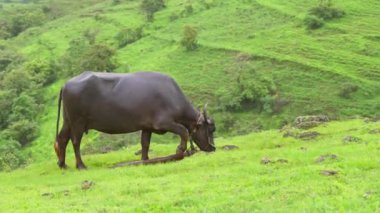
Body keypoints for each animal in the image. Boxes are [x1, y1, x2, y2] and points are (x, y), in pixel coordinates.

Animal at [52, 71, 217, 168]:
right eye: (210, 129)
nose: (213, 148)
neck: (171, 97)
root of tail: (66, 84)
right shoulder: (163, 123)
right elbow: (183, 131)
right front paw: (180, 150)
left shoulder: (147, 127)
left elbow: (145, 144)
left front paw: (145, 160)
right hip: (78, 122)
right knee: (75, 141)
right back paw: (80, 165)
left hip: (68, 121)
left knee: (62, 138)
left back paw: (62, 164)